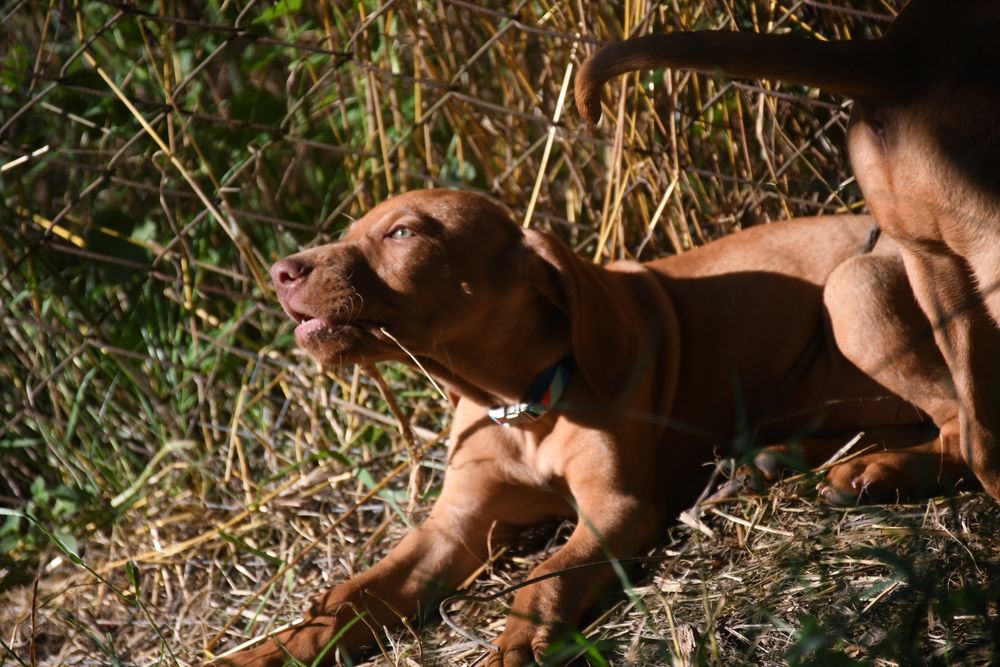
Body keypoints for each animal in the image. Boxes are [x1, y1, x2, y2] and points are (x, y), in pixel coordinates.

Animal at [215, 189, 964, 667]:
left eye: (403, 232)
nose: (281, 272)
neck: (519, 403)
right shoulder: (453, 527)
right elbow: (352, 595)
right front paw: (266, 649)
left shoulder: (617, 506)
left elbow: (548, 570)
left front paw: (520, 638)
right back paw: (779, 460)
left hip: (854, 287)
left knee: (962, 423)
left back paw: (877, 472)